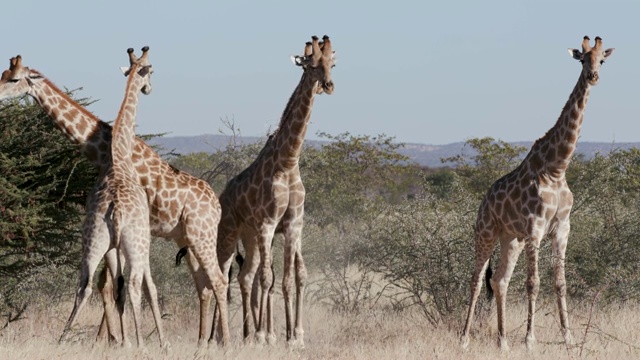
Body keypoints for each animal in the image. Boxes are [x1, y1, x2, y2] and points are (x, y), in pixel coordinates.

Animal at [0, 54, 230, 346]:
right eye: (4, 74)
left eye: (14, 79)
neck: (105, 151)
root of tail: (217, 203)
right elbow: (110, 284)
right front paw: (113, 339)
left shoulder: (136, 230)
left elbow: (124, 284)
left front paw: (122, 339)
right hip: (185, 239)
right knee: (204, 285)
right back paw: (203, 342)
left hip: (202, 236)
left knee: (218, 281)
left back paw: (225, 342)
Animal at [215, 34, 336, 346]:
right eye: (312, 66)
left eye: (331, 64)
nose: (328, 85)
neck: (288, 161)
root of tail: (221, 196)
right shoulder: (269, 224)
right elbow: (268, 279)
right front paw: (266, 335)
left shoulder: (292, 224)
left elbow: (289, 278)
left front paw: (293, 337)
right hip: (229, 234)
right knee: (222, 276)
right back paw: (221, 337)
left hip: (249, 237)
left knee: (246, 276)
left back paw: (245, 334)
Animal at [460, 37, 616, 352]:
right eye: (583, 60)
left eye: (602, 60)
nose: (593, 76)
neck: (556, 167)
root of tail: (483, 201)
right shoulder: (535, 226)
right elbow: (534, 283)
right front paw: (530, 339)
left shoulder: (562, 227)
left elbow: (560, 283)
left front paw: (568, 337)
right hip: (485, 232)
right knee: (476, 279)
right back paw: (464, 338)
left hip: (511, 239)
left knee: (500, 281)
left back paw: (503, 341)